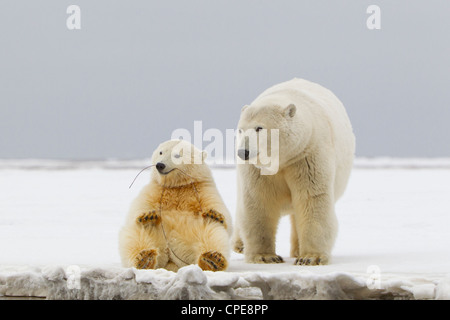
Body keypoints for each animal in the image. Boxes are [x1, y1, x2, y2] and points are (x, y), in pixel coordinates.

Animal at [118, 139, 232, 272]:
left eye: (177, 155)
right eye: (161, 152)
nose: (160, 165)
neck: (177, 186)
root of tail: (171, 258)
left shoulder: (202, 189)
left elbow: (221, 212)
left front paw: (214, 214)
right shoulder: (155, 189)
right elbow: (138, 208)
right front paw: (147, 215)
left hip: (192, 233)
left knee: (211, 232)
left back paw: (212, 259)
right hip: (158, 236)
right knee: (137, 234)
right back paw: (145, 256)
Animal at [232, 77, 356, 264]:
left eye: (259, 128)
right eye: (240, 129)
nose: (243, 152)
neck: (283, 158)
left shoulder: (306, 156)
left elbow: (312, 198)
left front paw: (311, 258)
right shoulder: (258, 170)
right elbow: (259, 200)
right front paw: (265, 256)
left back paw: (298, 251)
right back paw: (239, 245)